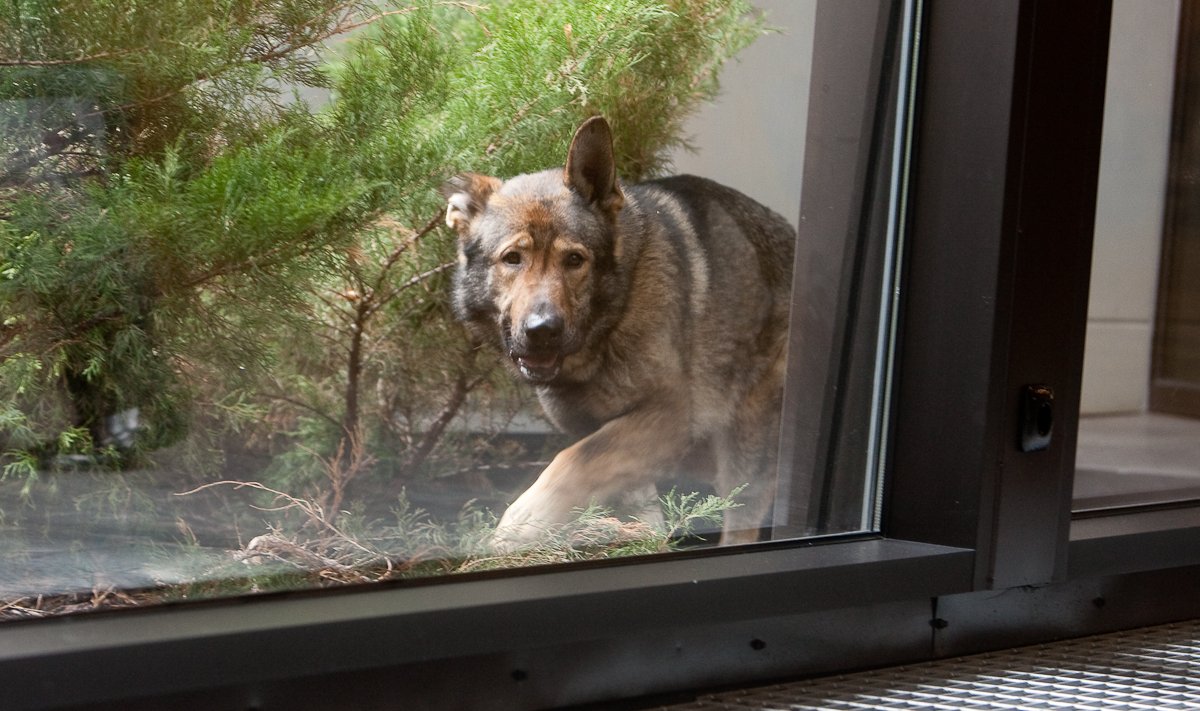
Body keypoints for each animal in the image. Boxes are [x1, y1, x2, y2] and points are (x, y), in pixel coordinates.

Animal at [441, 118, 796, 550]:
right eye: (512, 258)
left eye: (574, 260)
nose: (543, 330)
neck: (614, 316)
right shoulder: (612, 438)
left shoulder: (669, 416)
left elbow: (571, 461)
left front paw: (519, 527)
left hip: (746, 443)